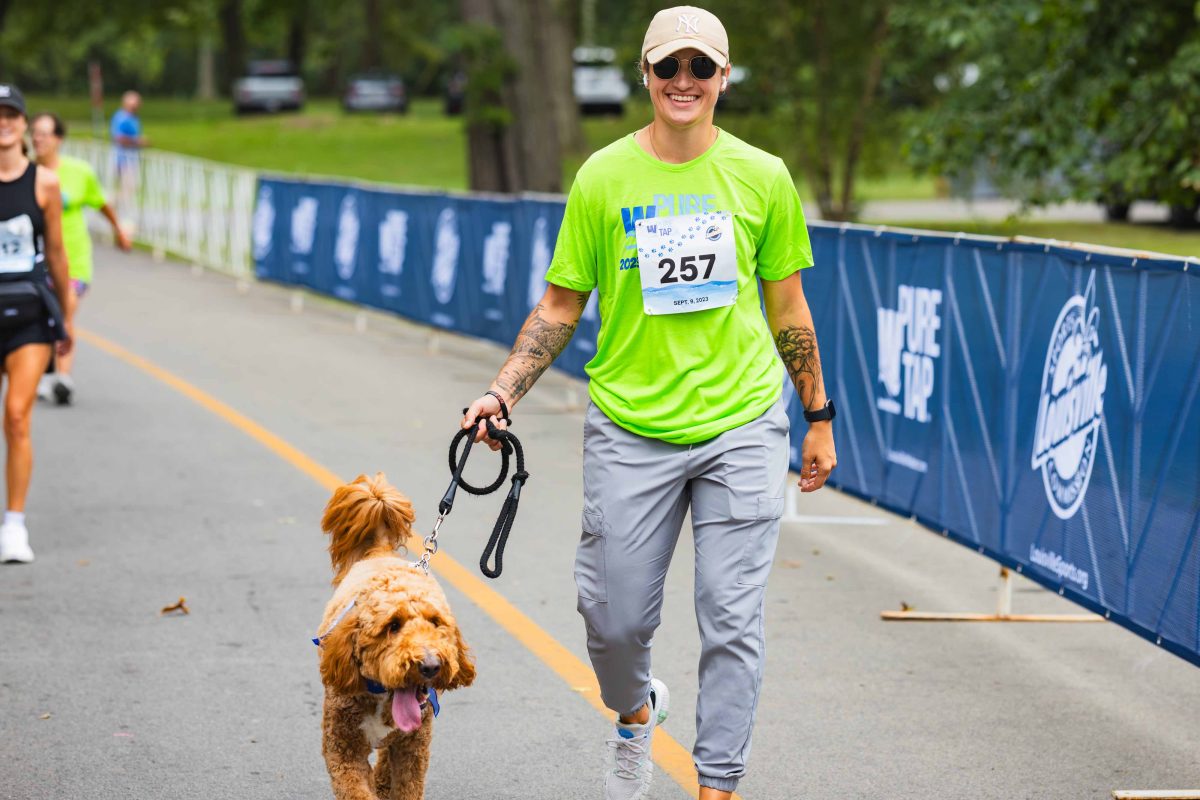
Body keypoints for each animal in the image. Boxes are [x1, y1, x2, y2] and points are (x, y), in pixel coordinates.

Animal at [315, 473, 475, 800]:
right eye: (393, 625)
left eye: (435, 622)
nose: (429, 665)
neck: (381, 694)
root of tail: (381, 553)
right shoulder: (342, 749)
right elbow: (356, 790)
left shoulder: (413, 749)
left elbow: (406, 785)